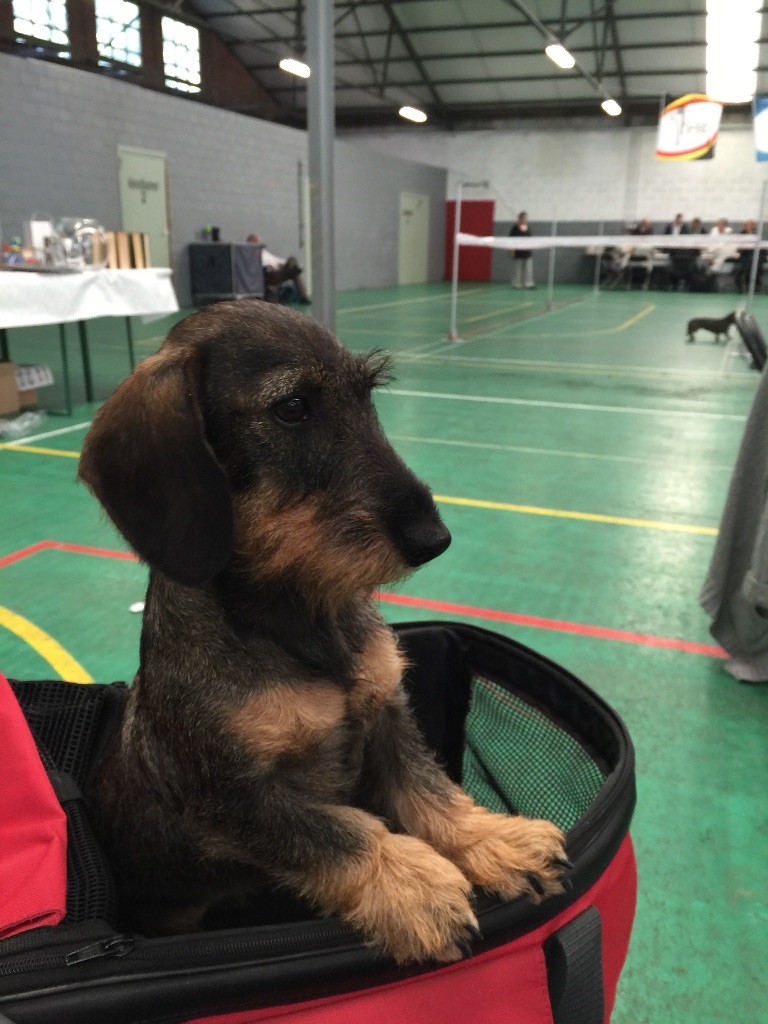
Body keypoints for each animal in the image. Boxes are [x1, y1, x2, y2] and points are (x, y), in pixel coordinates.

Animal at [79, 299, 573, 962]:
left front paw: (491, 839)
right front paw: (413, 885)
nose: (433, 538)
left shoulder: (387, 715)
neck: (300, 614)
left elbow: (430, 790)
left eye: (367, 396)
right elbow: (332, 830)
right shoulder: (234, 796)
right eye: (292, 407)